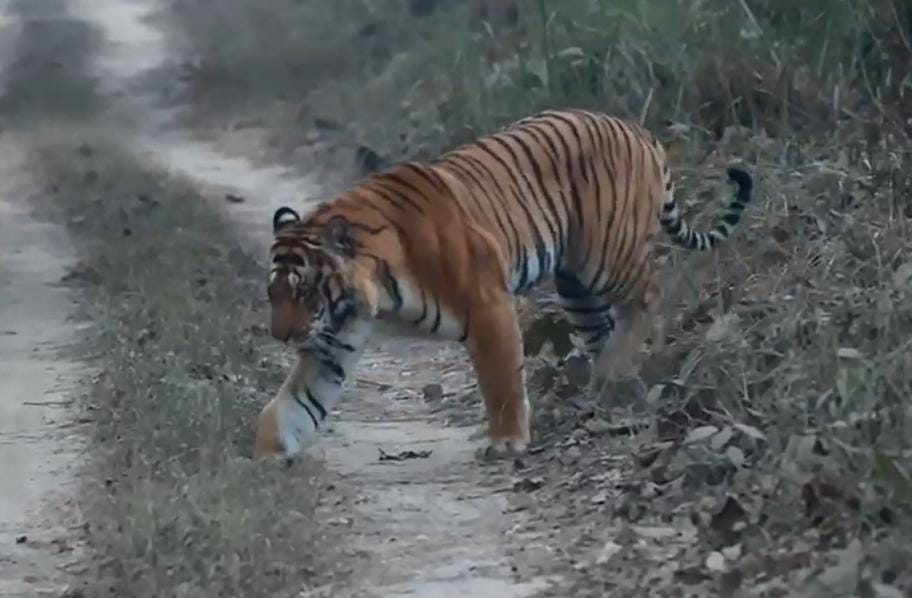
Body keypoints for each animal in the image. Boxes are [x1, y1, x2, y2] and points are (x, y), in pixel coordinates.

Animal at [254, 108, 754, 460]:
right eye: (273, 293)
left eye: (304, 290)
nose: (281, 336)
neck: (371, 292)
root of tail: (638, 129)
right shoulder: (330, 341)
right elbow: (296, 401)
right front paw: (265, 453)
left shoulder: (487, 304)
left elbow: (500, 381)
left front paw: (507, 441)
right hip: (576, 286)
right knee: (604, 329)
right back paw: (606, 382)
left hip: (607, 255)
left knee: (649, 295)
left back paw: (616, 371)